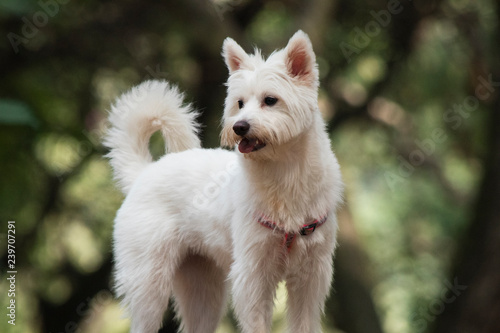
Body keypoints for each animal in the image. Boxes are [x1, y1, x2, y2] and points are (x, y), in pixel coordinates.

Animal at [103, 31, 342, 332]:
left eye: (270, 100)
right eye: (239, 103)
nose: (239, 127)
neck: (285, 178)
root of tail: (145, 173)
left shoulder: (311, 277)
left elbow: (304, 323)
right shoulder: (252, 275)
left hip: (203, 290)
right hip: (149, 284)